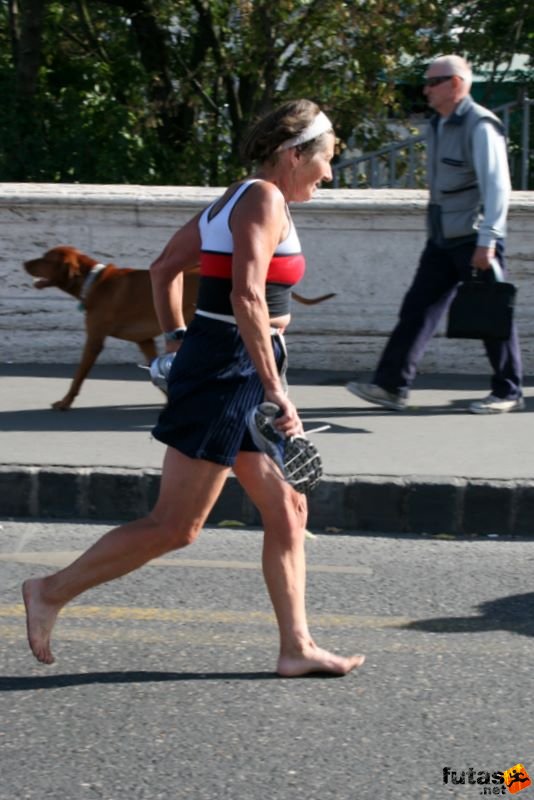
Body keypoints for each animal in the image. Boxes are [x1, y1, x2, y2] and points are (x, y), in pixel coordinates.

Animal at [25, 245, 336, 410]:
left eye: (45, 258)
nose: (25, 262)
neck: (93, 280)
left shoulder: (95, 338)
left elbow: (78, 375)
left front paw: (65, 402)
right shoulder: (145, 340)